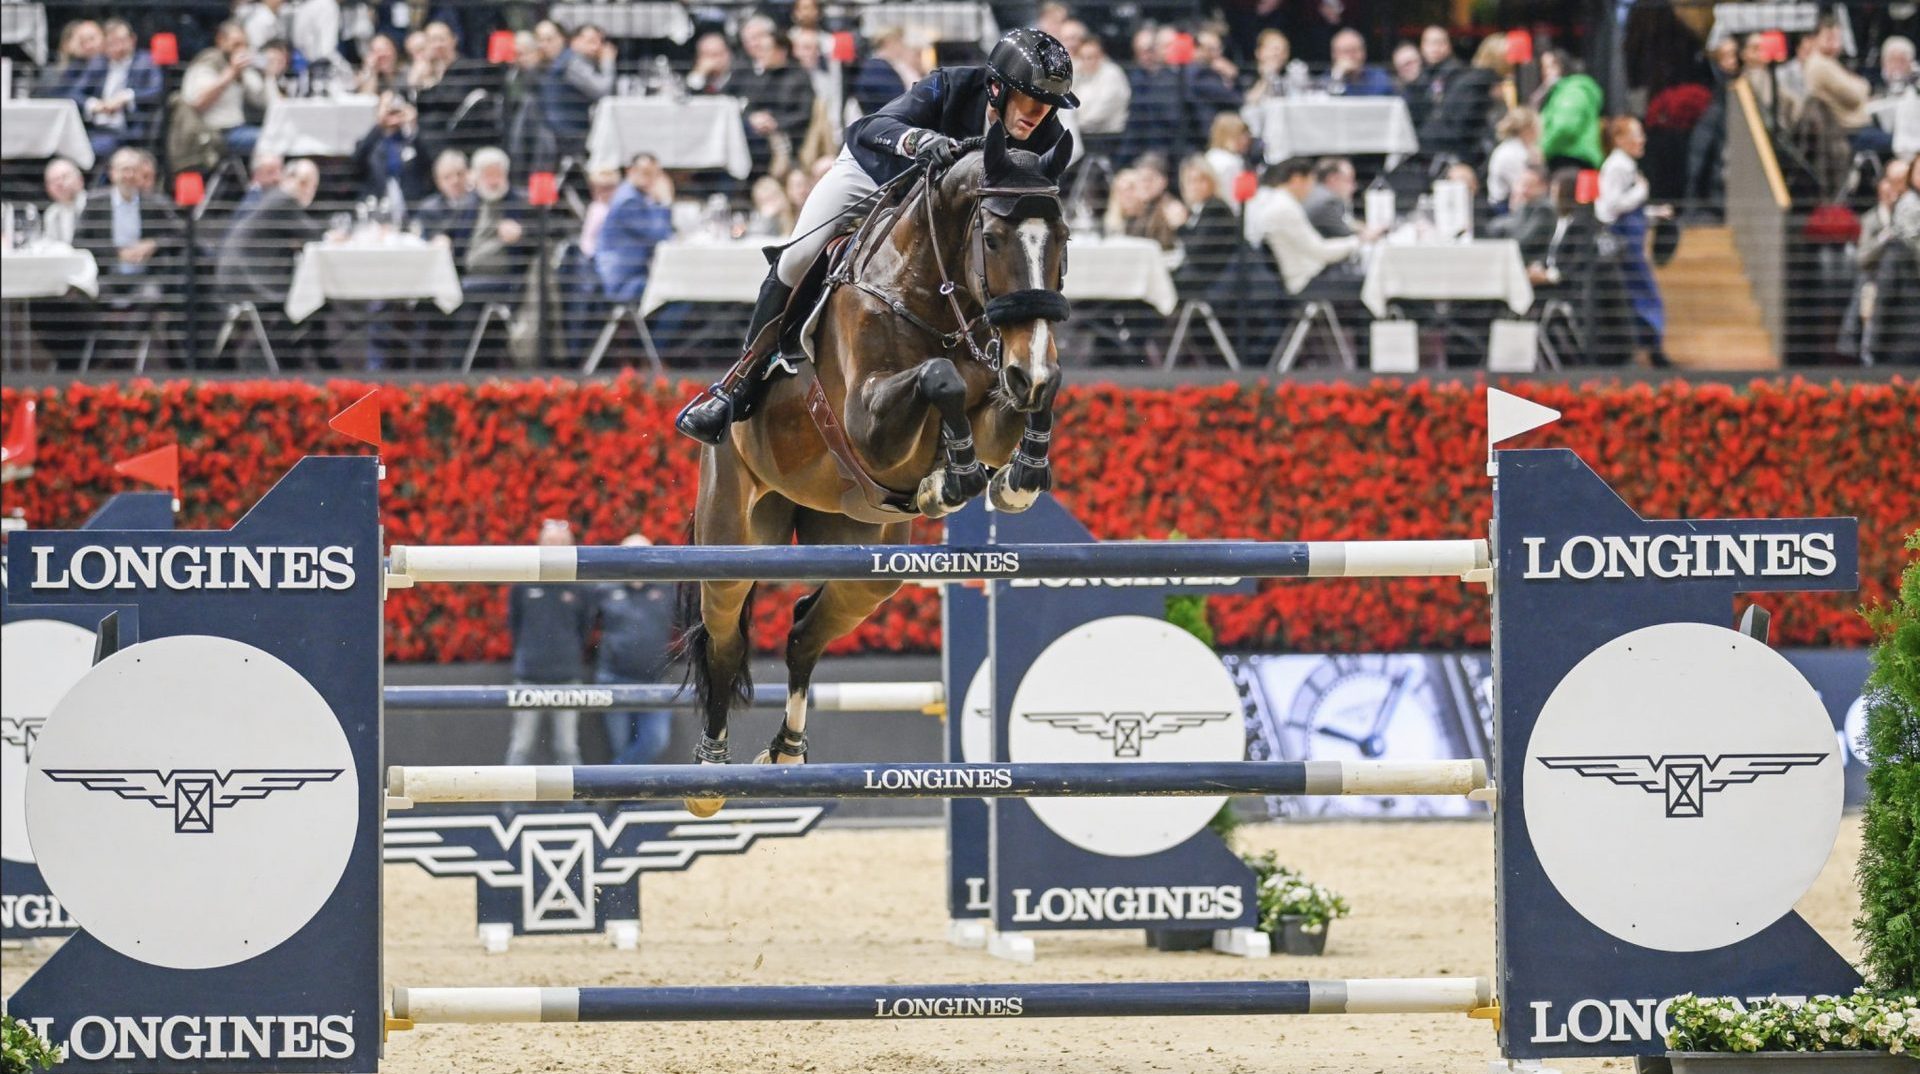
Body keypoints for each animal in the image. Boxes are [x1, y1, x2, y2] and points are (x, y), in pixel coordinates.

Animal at [678, 125, 1075, 816]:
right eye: (993, 240)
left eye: (1064, 242)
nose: (1031, 368)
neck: (932, 295)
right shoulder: (869, 423)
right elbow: (938, 380)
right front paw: (954, 478)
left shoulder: (996, 399)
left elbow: (1007, 413)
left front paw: (1011, 478)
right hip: (733, 537)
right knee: (725, 639)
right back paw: (709, 775)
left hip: (868, 565)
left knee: (804, 633)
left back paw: (787, 751)